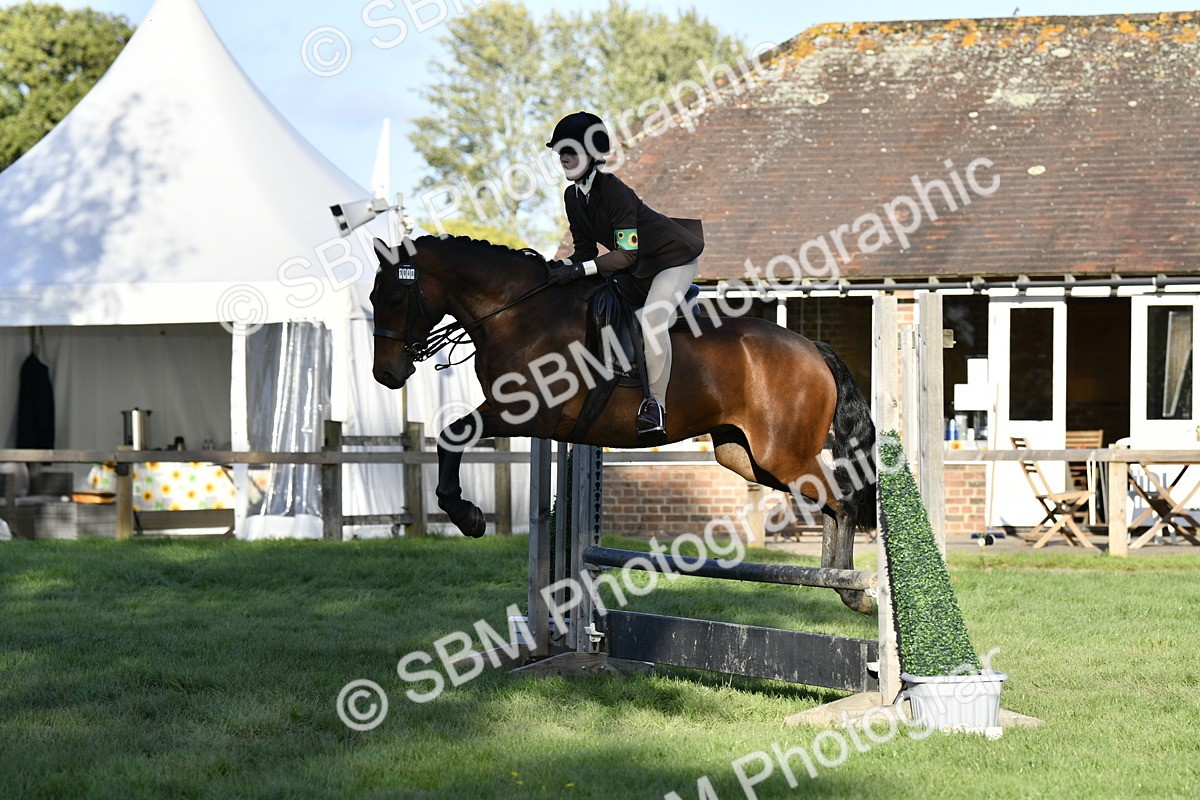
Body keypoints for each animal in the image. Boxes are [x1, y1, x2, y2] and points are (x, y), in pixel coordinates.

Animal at [370, 235, 878, 612]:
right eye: (373, 298)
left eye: (394, 296)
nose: (386, 375)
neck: (519, 312)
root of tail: (813, 348)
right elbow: (451, 437)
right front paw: (464, 512)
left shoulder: (525, 411)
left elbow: (453, 434)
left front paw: (467, 516)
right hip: (748, 458)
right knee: (829, 502)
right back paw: (834, 578)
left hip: (782, 452)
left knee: (844, 501)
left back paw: (852, 590)